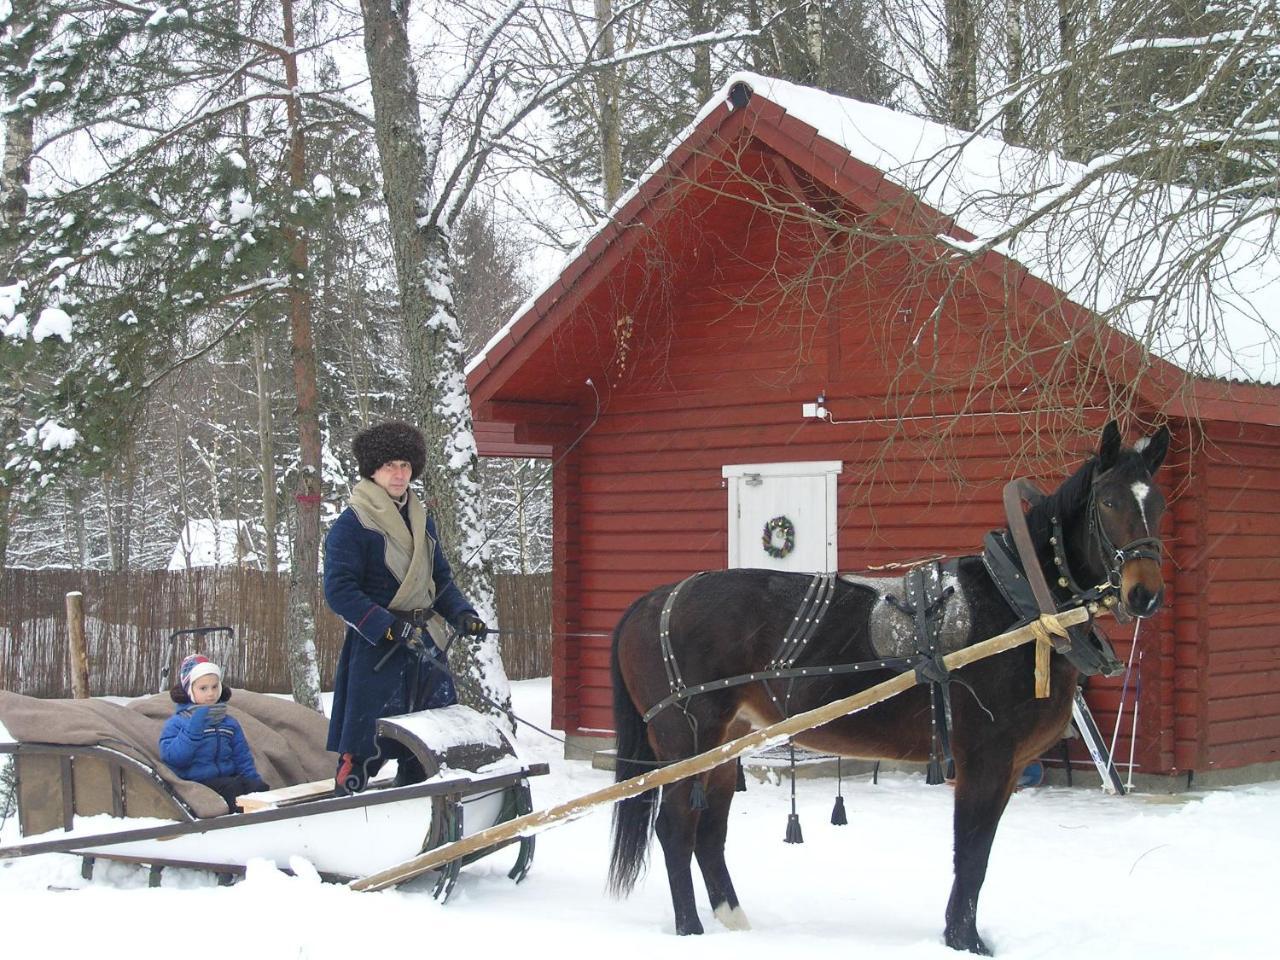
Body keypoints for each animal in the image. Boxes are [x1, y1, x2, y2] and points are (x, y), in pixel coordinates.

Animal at [609, 424, 1172, 957]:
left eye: (1159, 504)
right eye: (1109, 501)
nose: (1145, 594)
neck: (1019, 605)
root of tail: (655, 598)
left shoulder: (1009, 766)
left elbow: (980, 853)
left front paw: (963, 936)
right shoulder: (984, 758)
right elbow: (971, 852)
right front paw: (965, 940)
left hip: (727, 743)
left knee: (709, 832)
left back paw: (734, 922)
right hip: (686, 740)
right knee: (675, 829)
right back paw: (690, 929)